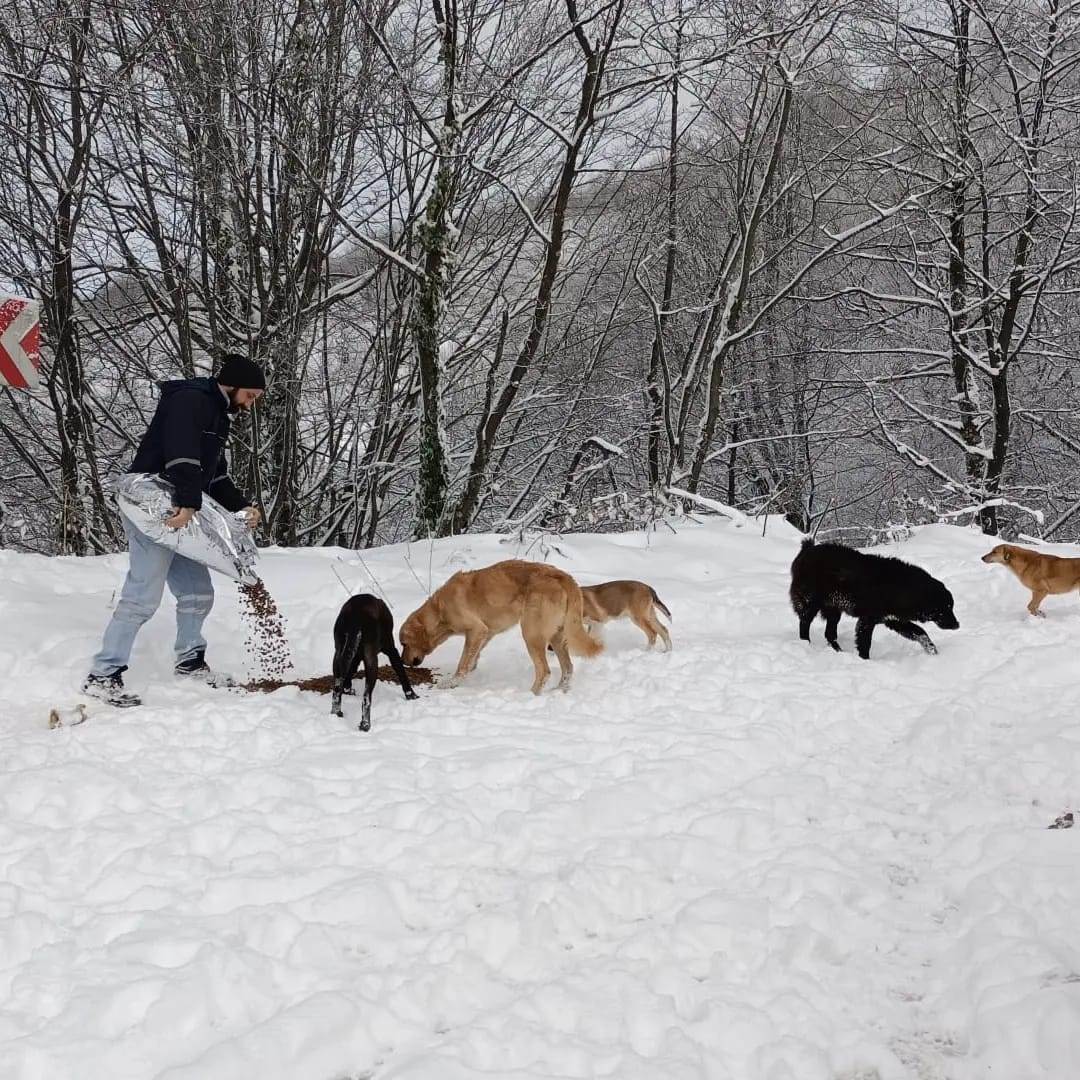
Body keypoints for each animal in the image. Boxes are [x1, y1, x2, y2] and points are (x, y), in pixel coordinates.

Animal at [328, 591, 416, 734]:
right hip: (371, 660)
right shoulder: (391, 650)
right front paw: (411, 695)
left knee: (336, 690)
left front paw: (347, 689)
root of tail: (355, 616)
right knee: (366, 698)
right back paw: (365, 725)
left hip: (338, 653)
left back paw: (336, 713)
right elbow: (400, 671)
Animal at [397, 561, 604, 695]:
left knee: (544, 671)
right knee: (568, 668)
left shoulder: (476, 630)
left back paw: (530, 695)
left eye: (404, 644)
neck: (439, 611)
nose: (403, 662)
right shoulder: (485, 634)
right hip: (557, 637)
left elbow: (462, 664)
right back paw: (559, 691)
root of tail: (562, 576)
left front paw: (450, 683)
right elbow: (471, 660)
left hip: (531, 634)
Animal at [790, 537, 959, 656]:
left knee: (829, 634)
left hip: (834, 610)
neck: (902, 588)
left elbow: (921, 633)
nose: (957, 625)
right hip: (811, 604)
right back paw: (806, 644)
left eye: (951, 606)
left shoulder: (895, 621)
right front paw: (864, 661)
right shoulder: (867, 620)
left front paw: (933, 652)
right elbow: (865, 644)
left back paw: (839, 651)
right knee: (804, 624)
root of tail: (807, 550)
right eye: (945, 608)